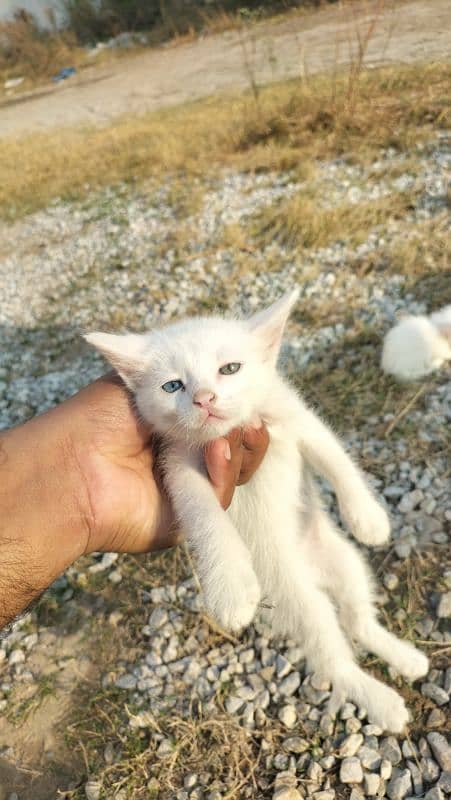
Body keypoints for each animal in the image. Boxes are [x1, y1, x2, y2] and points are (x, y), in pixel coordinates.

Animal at [86, 292, 430, 732]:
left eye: (230, 368)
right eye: (172, 385)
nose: (204, 399)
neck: (229, 434)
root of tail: (310, 570)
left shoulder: (294, 416)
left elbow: (334, 457)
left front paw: (367, 517)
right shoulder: (178, 466)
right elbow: (204, 515)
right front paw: (229, 588)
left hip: (342, 560)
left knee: (357, 618)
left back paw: (405, 658)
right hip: (298, 598)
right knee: (333, 658)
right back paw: (383, 701)